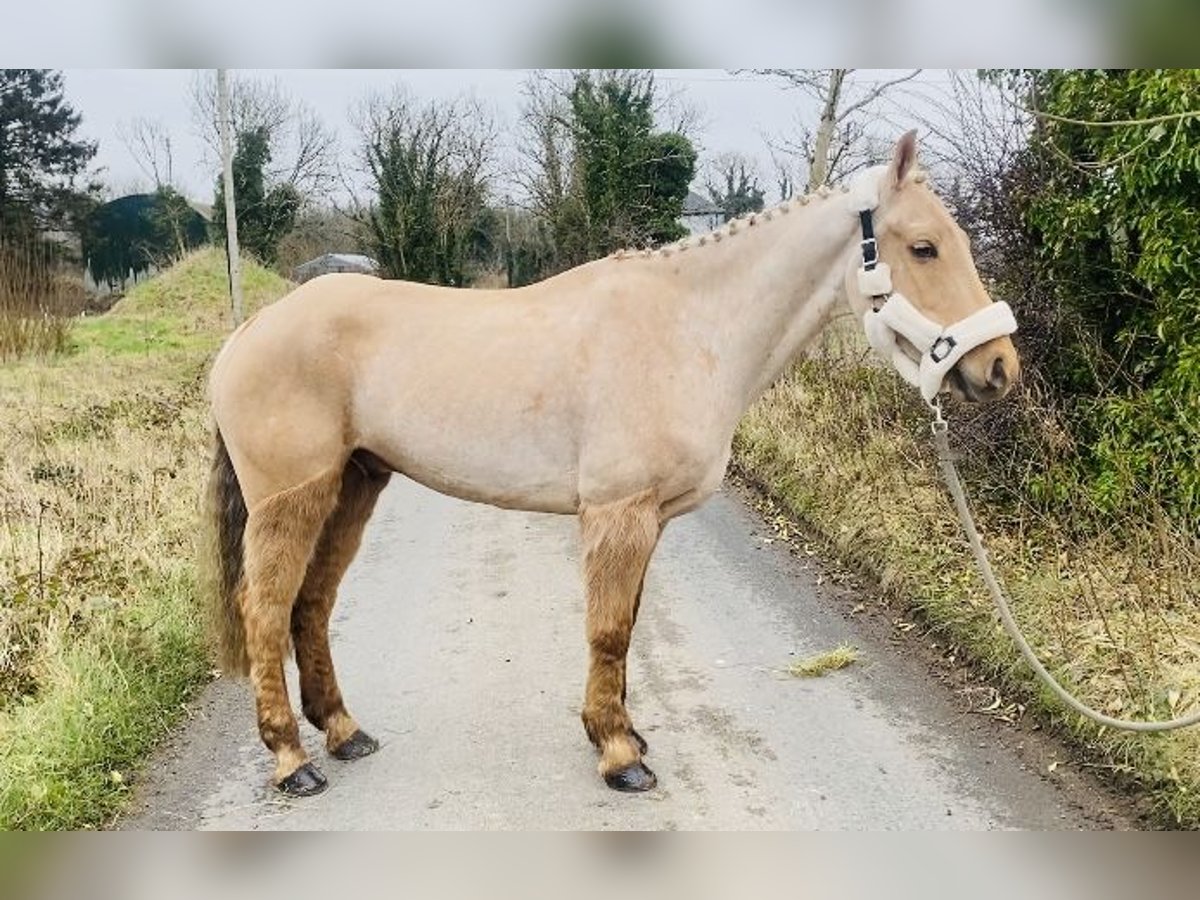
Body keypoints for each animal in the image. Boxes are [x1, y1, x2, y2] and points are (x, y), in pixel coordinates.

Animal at [206, 132, 1022, 796]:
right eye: (923, 247)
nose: (998, 368)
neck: (687, 327)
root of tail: (249, 332)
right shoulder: (617, 513)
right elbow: (606, 630)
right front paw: (618, 757)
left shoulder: (649, 520)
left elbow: (626, 625)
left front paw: (623, 731)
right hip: (292, 499)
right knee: (266, 610)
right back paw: (292, 761)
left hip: (354, 485)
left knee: (311, 606)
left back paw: (344, 734)